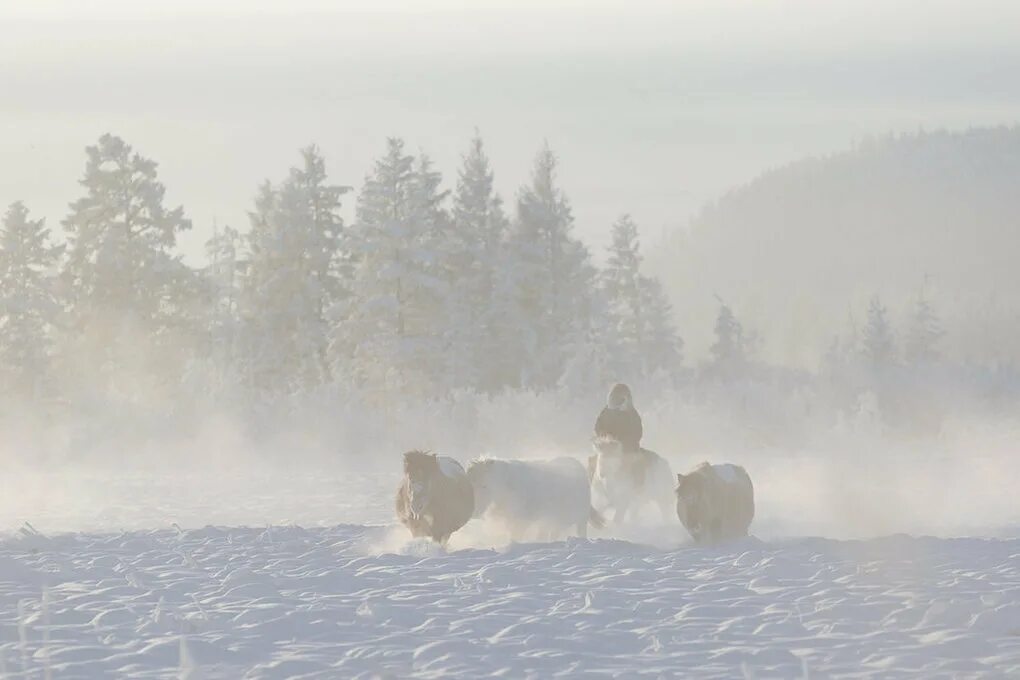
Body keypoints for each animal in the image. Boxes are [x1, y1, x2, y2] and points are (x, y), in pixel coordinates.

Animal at [465, 456, 599, 542]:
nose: (473, 512)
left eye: (484, 485)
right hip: (554, 519)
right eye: (469, 484)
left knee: (580, 531)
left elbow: (516, 537)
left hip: (581, 517)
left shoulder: (522, 520)